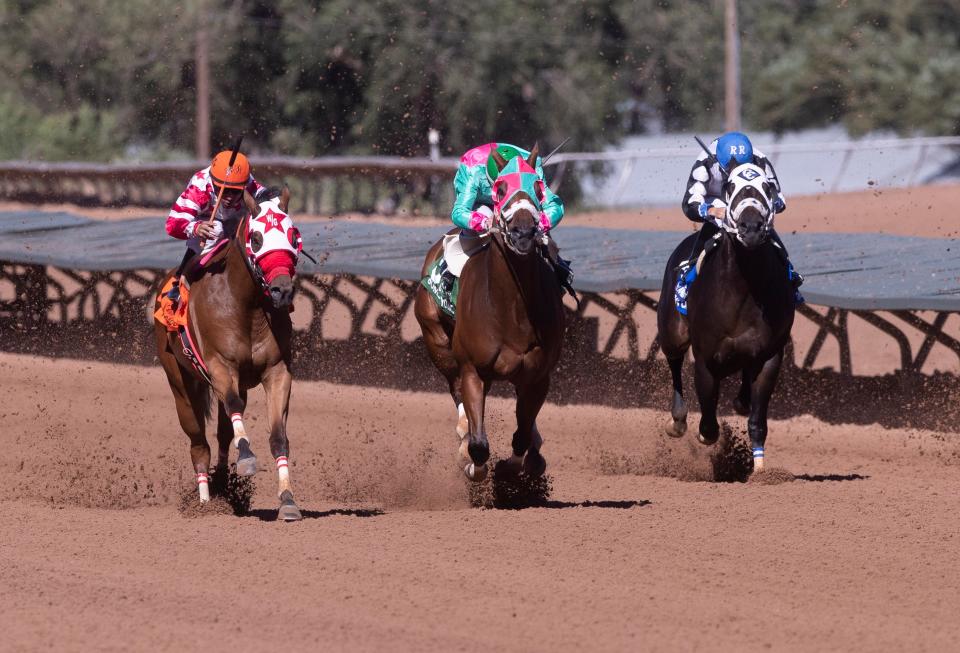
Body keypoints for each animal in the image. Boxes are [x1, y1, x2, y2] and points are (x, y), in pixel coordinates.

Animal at [154, 185, 304, 520]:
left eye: (293, 235)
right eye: (257, 238)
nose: (282, 291)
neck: (247, 307)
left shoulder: (277, 371)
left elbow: (279, 436)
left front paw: (288, 499)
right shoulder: (220, 365)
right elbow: (233, 406)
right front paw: (247, 458)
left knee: (224, 434)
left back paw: (223, 486)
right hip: (179, 381)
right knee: (199, 442)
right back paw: (205, 502)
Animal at [410, 145, 564, 482]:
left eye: (538, 187)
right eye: (500, 189)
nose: (523, 232)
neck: (512, 310)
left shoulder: (538, 375)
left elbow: (521, 435)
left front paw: (514, 465)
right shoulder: (472, 369)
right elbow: (479, 445)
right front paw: (471, 462)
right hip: (438, 342)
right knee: (456, 392)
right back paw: (462, 436)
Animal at [660, 162, 796, 468]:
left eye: (766, 186)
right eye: (730, 187)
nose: (752, 228)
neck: (745, 289)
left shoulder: (770, 355)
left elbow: (757, 421)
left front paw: (760, 468)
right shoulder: (706, 358)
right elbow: (709, 426)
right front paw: (704, 436)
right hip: (671, 332)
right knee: (674, 361)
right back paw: (677, 421)